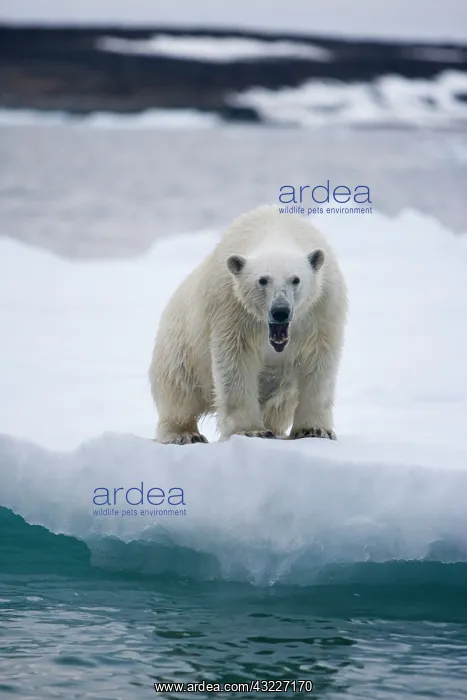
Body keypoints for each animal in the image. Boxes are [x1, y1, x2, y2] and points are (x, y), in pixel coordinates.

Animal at [149, 204, 348, 445]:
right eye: (262, 280)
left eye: (296, 279)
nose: (280, 311)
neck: (277, 229)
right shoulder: (231, 306)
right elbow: (235, 361)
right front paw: (251, 430)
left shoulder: (322, 307)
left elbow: (319, 362)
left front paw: (315, 430)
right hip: (180, 346)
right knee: (178, 390)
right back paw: (185, 434)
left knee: (281, 404)